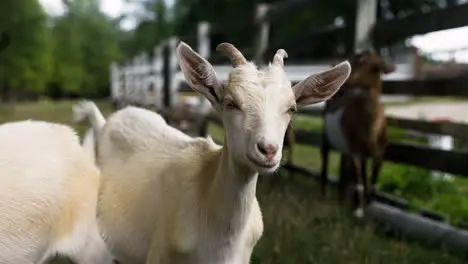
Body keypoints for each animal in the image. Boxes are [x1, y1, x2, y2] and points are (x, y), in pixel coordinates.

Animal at [320, 50, 394, 219]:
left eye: (365, 62)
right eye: (354, 59)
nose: (344, 78)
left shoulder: (380, 153)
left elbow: (373, 180)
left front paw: (368, 205)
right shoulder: (354, 150)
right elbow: (359, 180)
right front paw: (358, 211)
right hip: (326, 135)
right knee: (325, 157)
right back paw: (325, 194)